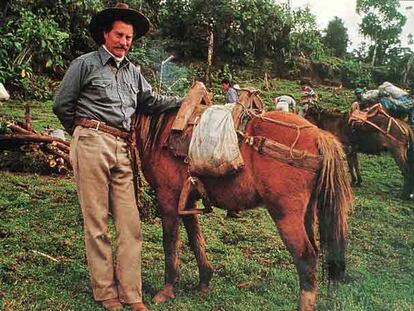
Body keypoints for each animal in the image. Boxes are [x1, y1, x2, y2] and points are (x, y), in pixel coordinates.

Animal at [134, 84, 350, 310]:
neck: (161, 132)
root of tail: (319, 135)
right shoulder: (187, 200)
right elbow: (195, 238)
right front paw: (204, 280)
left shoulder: (167, 197)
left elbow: (170, 242)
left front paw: (167, 289)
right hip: (308, 212)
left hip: (285, 215)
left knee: (306, 257)